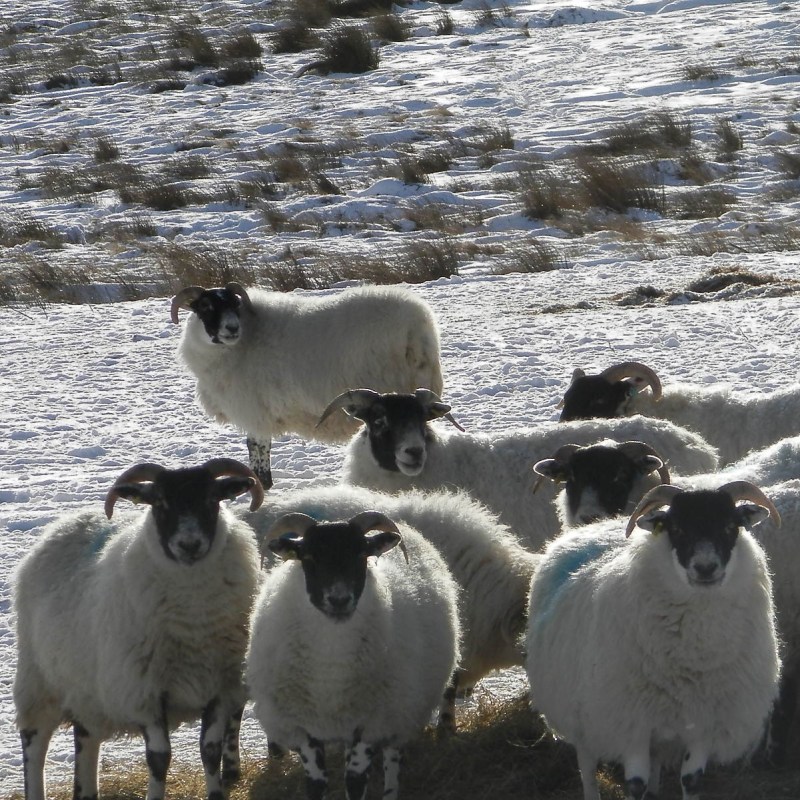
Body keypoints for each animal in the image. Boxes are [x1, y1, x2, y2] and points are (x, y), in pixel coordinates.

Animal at [13, 458, 263, 800]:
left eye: (213, 499)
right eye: (160, 503)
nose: (189, 545)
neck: (194, 625)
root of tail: (65, 524)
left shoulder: (220, 686)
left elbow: (210, 751)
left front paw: (216, 793)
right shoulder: (145, 690)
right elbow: (159, 757)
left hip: (88, 689)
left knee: (85, 737)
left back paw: (87, 791)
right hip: (39, 680)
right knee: (34, 743)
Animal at [171, 282, 444, 490]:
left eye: (235, 304)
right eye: (205, 306)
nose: (232, 328)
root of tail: (420, 328)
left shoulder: (255, 411)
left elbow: (257, 449)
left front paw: (263, 486)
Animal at [245, 510, 460, 800]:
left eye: (361, 555)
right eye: (309, 557)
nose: (339, 600)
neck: (331, 670)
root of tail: (408, 529)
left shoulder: (369, 723)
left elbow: (356, 781)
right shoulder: (305, 727)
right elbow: (316, 783)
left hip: (399, 711)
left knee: (393, 759)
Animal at [525, 481, 782, 800]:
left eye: (730, 527)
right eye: (677, 529)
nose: (705, 568)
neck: (694, 656)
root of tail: (597, 525)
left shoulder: (702, 724)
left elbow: (691, 781)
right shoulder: (631, 723)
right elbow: (636, 785)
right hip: (582, 712)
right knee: (586, 763)